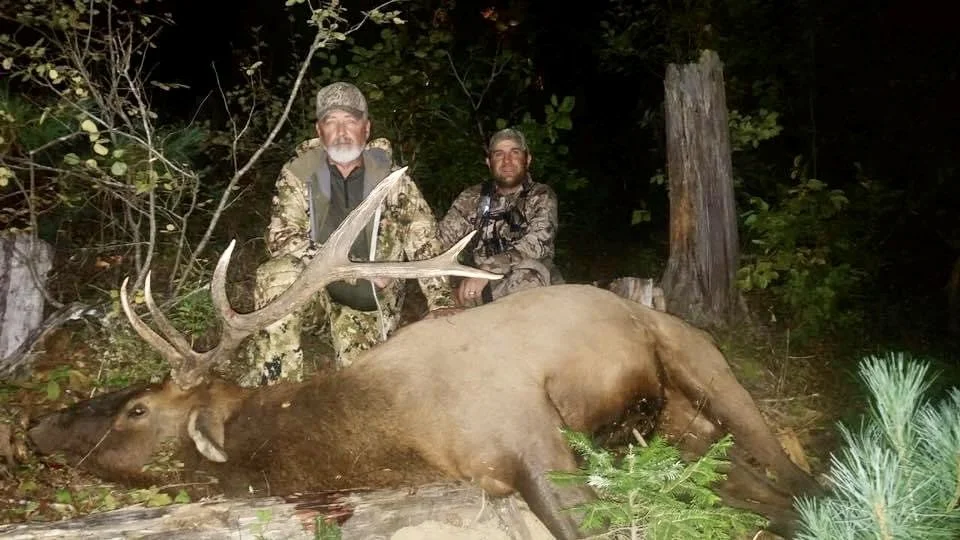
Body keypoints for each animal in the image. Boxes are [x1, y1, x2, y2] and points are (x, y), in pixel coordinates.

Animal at [27, 167, 821, 539]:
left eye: (135, 408)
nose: (35, 427)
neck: (396, 425)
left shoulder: (534, 440)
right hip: (677, 433)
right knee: (745, 482)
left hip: (701, 364)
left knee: (792, 470)